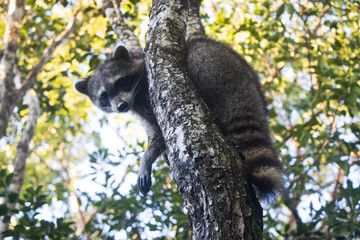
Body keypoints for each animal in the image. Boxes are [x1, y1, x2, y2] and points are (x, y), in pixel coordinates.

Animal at [75, 36, 284, 201]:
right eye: (104, 96)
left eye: (120, 82)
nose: (121, 106)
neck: (135, 96)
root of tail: (251, 88)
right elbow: (154, 131)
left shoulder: (150, 94)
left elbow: (159, 134)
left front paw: (146, 159)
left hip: (216, 69)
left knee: (196, 58)